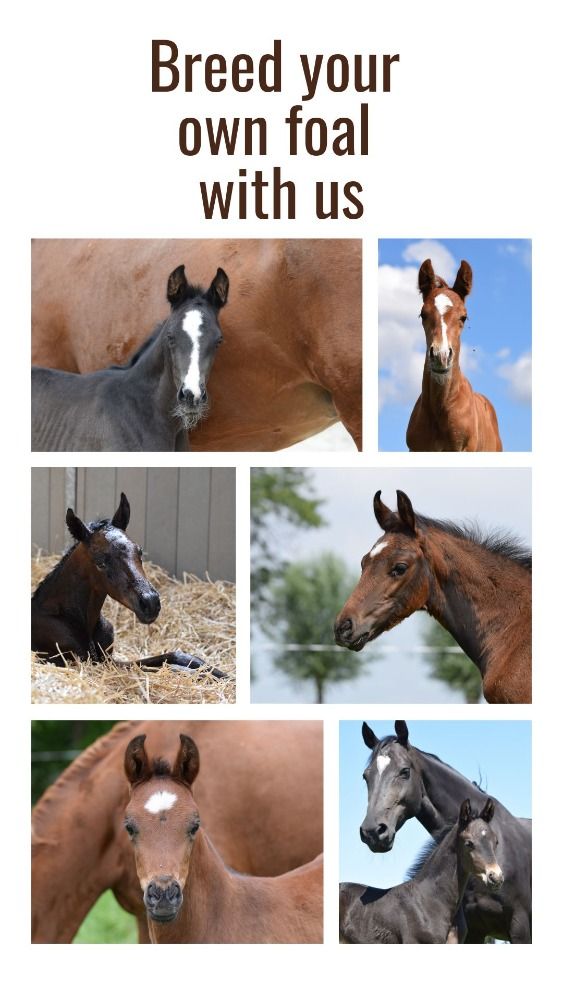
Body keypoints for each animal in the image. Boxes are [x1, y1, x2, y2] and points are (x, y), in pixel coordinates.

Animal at [31, 492, 224, 676]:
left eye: (140, 551)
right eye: (100, 563)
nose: (150, 603)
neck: (73, 618)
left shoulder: (108, 660)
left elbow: (176, 656)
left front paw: (221, 674)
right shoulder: (87, 663)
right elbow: (172, 668)